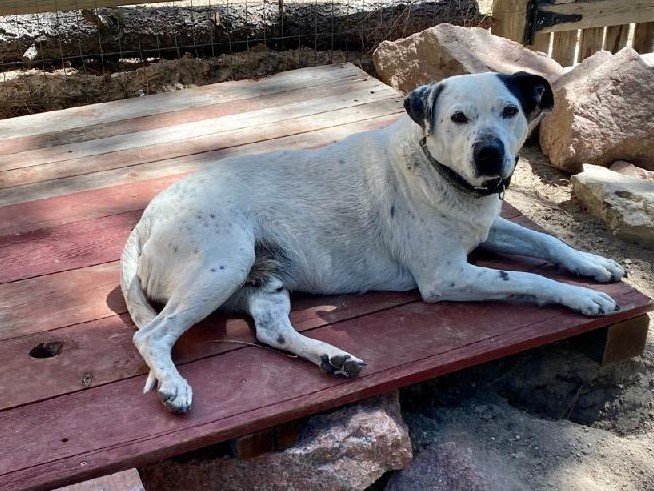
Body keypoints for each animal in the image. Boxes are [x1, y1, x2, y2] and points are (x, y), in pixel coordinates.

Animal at [121, 71, 624, 414]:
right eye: (458, 117)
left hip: (264, 281)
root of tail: (145, 219)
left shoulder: (488, 229)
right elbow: (528, 279)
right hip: (223, 264)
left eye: (510, 111)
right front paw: (581, 297)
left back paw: (332, 358)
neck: (440, 172)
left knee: (270, 330)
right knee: (151, 334)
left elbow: (547, 241)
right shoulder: (446, 276)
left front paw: (594, 264)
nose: (489, 155)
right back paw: (174, 386)